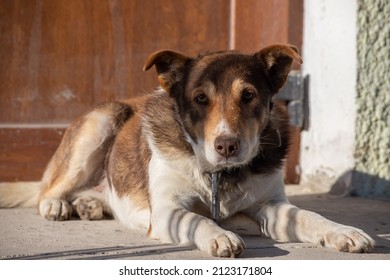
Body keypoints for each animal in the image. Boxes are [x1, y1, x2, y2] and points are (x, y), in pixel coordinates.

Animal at [0, 44, 374, 258]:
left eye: (249, 95)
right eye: (200, 98)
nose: (227, 145)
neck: (218, 173)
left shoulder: (270, 205)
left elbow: (308, 216)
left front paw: (344, 232)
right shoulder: (168, 211)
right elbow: (197, 219)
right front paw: (220, 236)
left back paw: (90, 204)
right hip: (101, 122)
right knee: (47, 190)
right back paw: (58, 204)